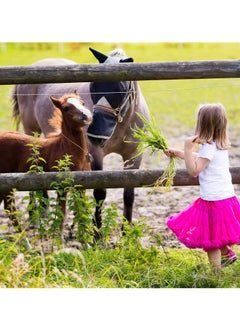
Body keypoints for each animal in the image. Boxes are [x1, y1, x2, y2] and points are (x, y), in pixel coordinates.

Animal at [0, 90, 92, 231]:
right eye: (65, 108)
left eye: (82, 103)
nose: (86, 115)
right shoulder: (62, 184)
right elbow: (62, 212)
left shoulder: (82, 185)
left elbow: (81, 211)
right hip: (6, 181)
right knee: (10, 209)